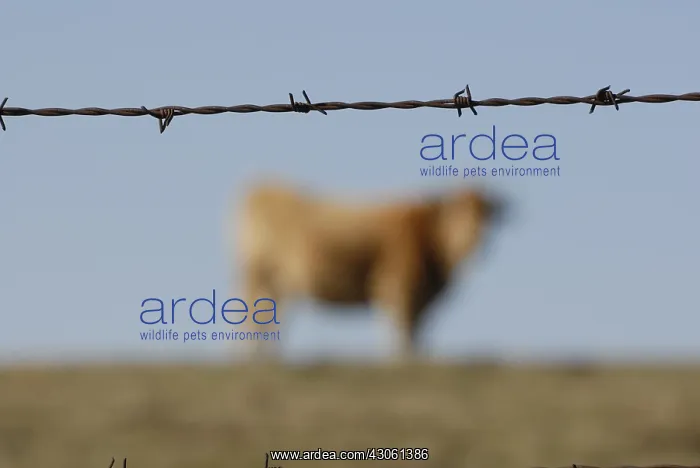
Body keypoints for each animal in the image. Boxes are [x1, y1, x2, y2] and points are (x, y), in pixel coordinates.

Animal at [226, 181, 508, 362]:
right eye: (457, 213)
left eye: (487, 214)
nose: (475, 236)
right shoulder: (397, 286)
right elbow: (402, 333)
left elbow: (414, 335)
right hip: (257, 275)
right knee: (252, 318)